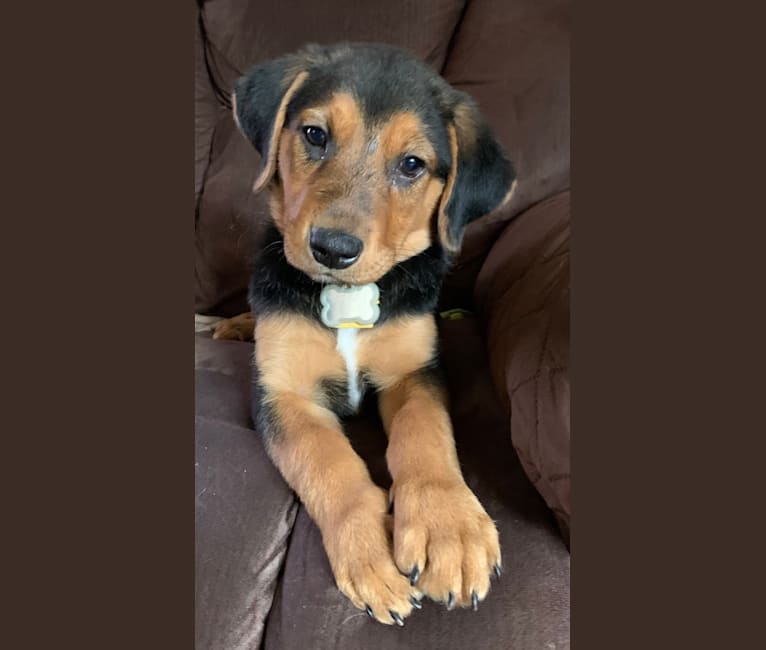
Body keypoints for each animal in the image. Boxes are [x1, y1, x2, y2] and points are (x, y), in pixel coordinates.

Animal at [214, 43, 516, 624]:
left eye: (412, 165)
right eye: (315, 135)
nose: (333, 249)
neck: (347, 296)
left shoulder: (415, 372)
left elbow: (424, 436)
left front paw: (450, 531)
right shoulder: (283, 393)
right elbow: (330, 463)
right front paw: (370, 552)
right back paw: (233, 324)